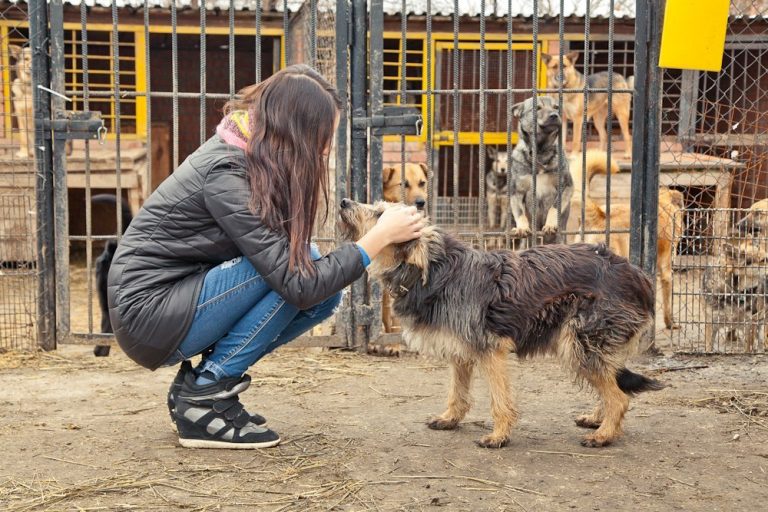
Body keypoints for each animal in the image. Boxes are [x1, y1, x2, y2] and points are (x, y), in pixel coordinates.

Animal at [340, 198, 664, 446]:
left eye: (381, 215)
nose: (344, 201)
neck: (435, 271)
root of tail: (639, 276)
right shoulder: (461, 351)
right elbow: (457, 393)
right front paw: (450, 419)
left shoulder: (490, 348)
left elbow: (499, 400)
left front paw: (498, 436)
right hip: (588, 345)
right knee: (612, 384)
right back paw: (598, 419)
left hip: (579, 342)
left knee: (619, 397)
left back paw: (604, 435)